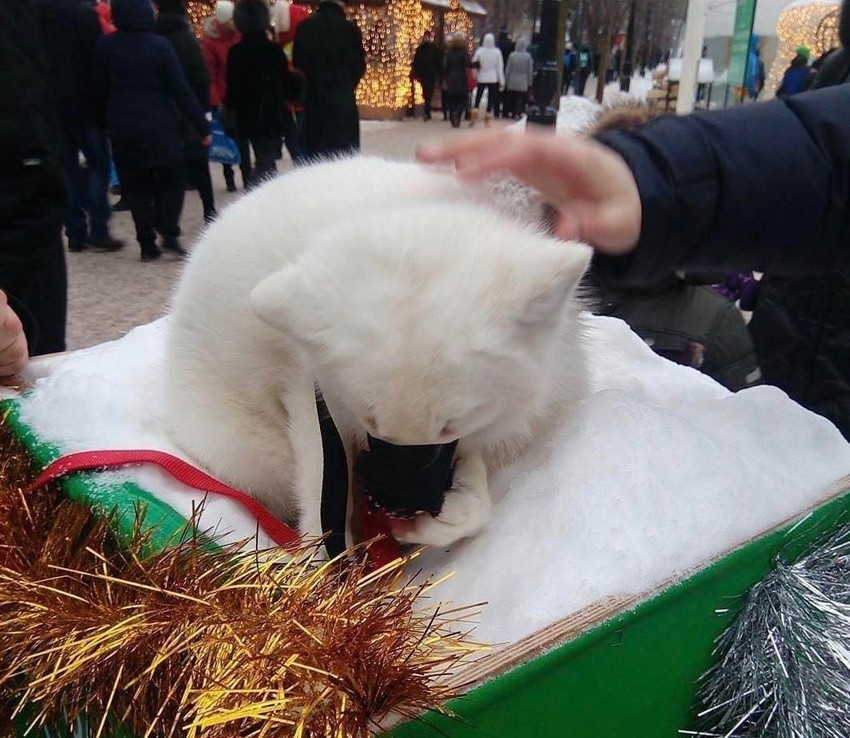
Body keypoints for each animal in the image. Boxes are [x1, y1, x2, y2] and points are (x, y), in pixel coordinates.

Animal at [164, 155, 588, 548]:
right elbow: (321, 502)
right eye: (370, 420)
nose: (398, 508)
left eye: (451, 425)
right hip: (256, 452)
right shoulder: (311, 400)